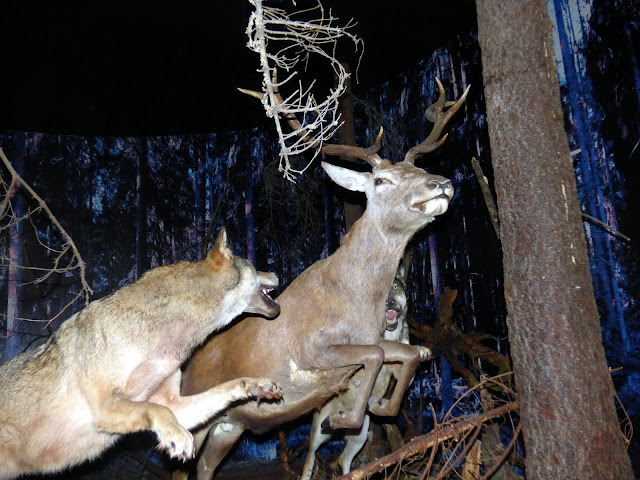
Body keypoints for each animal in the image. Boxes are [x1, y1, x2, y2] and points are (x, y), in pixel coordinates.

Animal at [172, 79, 468, 480]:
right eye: (381, 180)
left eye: (419, 169)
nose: (442, 183)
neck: (354, 301)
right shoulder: (310, 348)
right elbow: (376, 356)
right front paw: (341, 418)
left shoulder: (368, 339)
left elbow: (408, 352)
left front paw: (380, 407)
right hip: (198, 415)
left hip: (229, 425)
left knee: (205, 467)